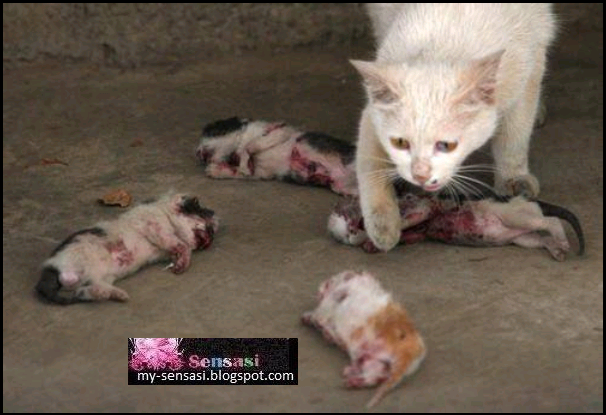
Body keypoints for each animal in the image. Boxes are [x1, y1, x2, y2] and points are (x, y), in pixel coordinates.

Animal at [35, 193, 218, 306]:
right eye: (202, 212)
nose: (211, 239)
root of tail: (50, 266)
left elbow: (178, 247)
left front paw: (178, 262)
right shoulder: (154, 226)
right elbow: (182, 245)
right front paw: (182, 264)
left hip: (101, 277)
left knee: (87, 290)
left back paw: (119, 295)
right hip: (81, 261)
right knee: (82, 287)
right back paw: (120, 295)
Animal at [195, 115, 358, 197]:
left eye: (213, 132)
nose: (198, 153)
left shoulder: (280, 132)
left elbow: (251, 146)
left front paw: (243, 161)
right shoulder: (259, 173)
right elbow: (239, 172)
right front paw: (216, 170)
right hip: (341, 188)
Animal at [302, 270, 428, 410]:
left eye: (330, 281)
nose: (320, 288)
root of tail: (408, 354)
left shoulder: (330, 302)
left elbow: (319, 313)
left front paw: (313, 321)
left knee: (374, 376)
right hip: (374, 360)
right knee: (375, 377)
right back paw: (352, 377)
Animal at [330, 193, 588, 262]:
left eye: (345, 214)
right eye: (344, 237)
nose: (350, 233)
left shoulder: (423, 204)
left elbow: (408, 218)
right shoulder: (420, 232)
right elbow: (409, 234)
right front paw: (370, 244)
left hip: (514, 215)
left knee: (550, 222)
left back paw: (561, 241)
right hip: (522, 238)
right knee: (540, 238)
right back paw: (557, 249)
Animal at [354, 3, 560, 252]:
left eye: (446, 145)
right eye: (400, 143)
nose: (420, 175)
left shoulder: (530, 66)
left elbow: (514, 137)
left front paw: (514, 178)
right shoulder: (371, 112)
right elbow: (370, 167)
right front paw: (383, 227)